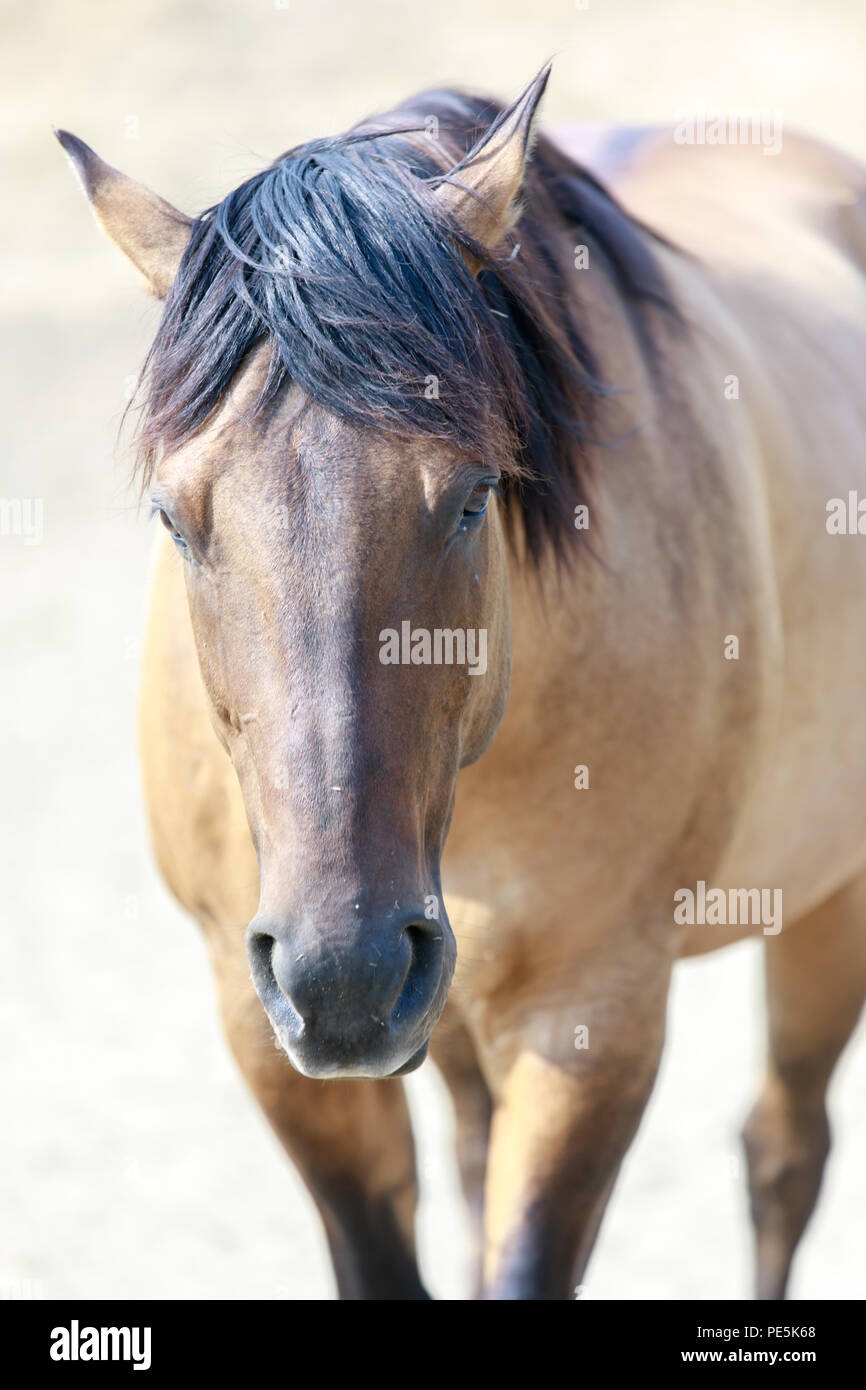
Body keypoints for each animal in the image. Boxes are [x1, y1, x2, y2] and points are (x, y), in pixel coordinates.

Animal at [57, 64, 866, 1300]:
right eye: (174, 518)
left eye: (477, 494)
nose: (340, 975)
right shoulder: (266, 1031)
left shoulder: (593, 1015)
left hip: (829, 903)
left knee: (782, 1152)